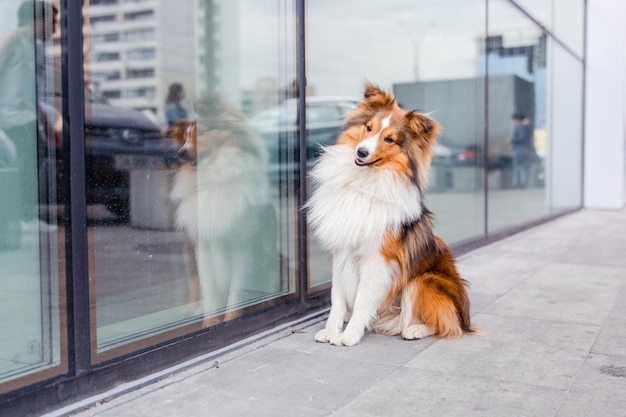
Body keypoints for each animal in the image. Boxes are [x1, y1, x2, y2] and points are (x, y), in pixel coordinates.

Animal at [168, 94, 280, 320]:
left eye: (201, 133)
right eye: (185, 137)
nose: (181, 154)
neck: (215, 178)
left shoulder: (242, 246)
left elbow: (235, 294)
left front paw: (230, 319)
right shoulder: (203, 245)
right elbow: (210, 291)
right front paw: (210, 323)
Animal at [304, 83, 470, 346]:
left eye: (390, 139)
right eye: (368, 127)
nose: (361, 152)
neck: (364, 183)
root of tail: (467, 318)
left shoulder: (377, 260)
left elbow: (362, 300)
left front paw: (349, 334)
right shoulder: (341, 252)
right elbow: (337, 297)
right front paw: (331, 330)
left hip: (423, 280)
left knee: (446, 323)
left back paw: (415, 329)